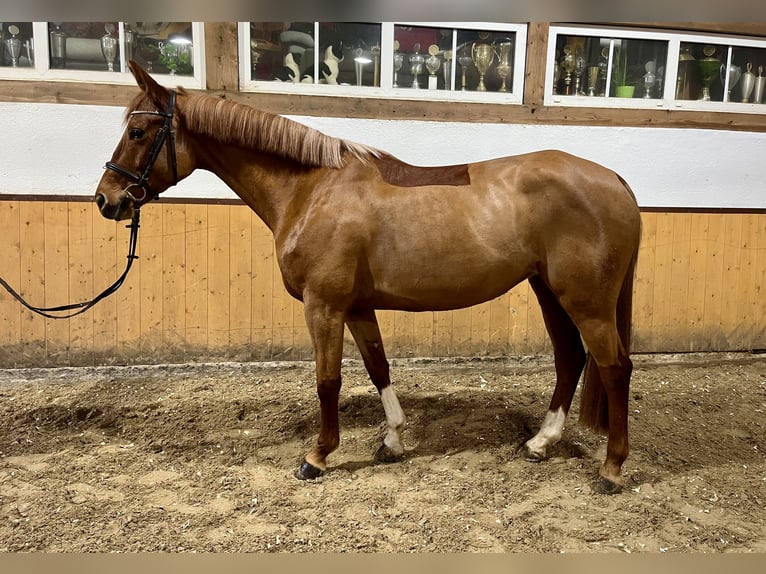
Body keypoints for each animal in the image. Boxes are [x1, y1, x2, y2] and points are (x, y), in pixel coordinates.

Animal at [99, 62, 644, 496]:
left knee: (615, 367)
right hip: (548, 290)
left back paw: (612, 469)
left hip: (587, 302)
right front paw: (393, 441)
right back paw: (540, 443)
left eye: (139, 132)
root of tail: (614, 179)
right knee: (570, 358)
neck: (312, 190)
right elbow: (378, 368)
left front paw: (317, 457)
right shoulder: (358, 306)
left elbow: (328, 381)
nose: (107, 199)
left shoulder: (323, 305)